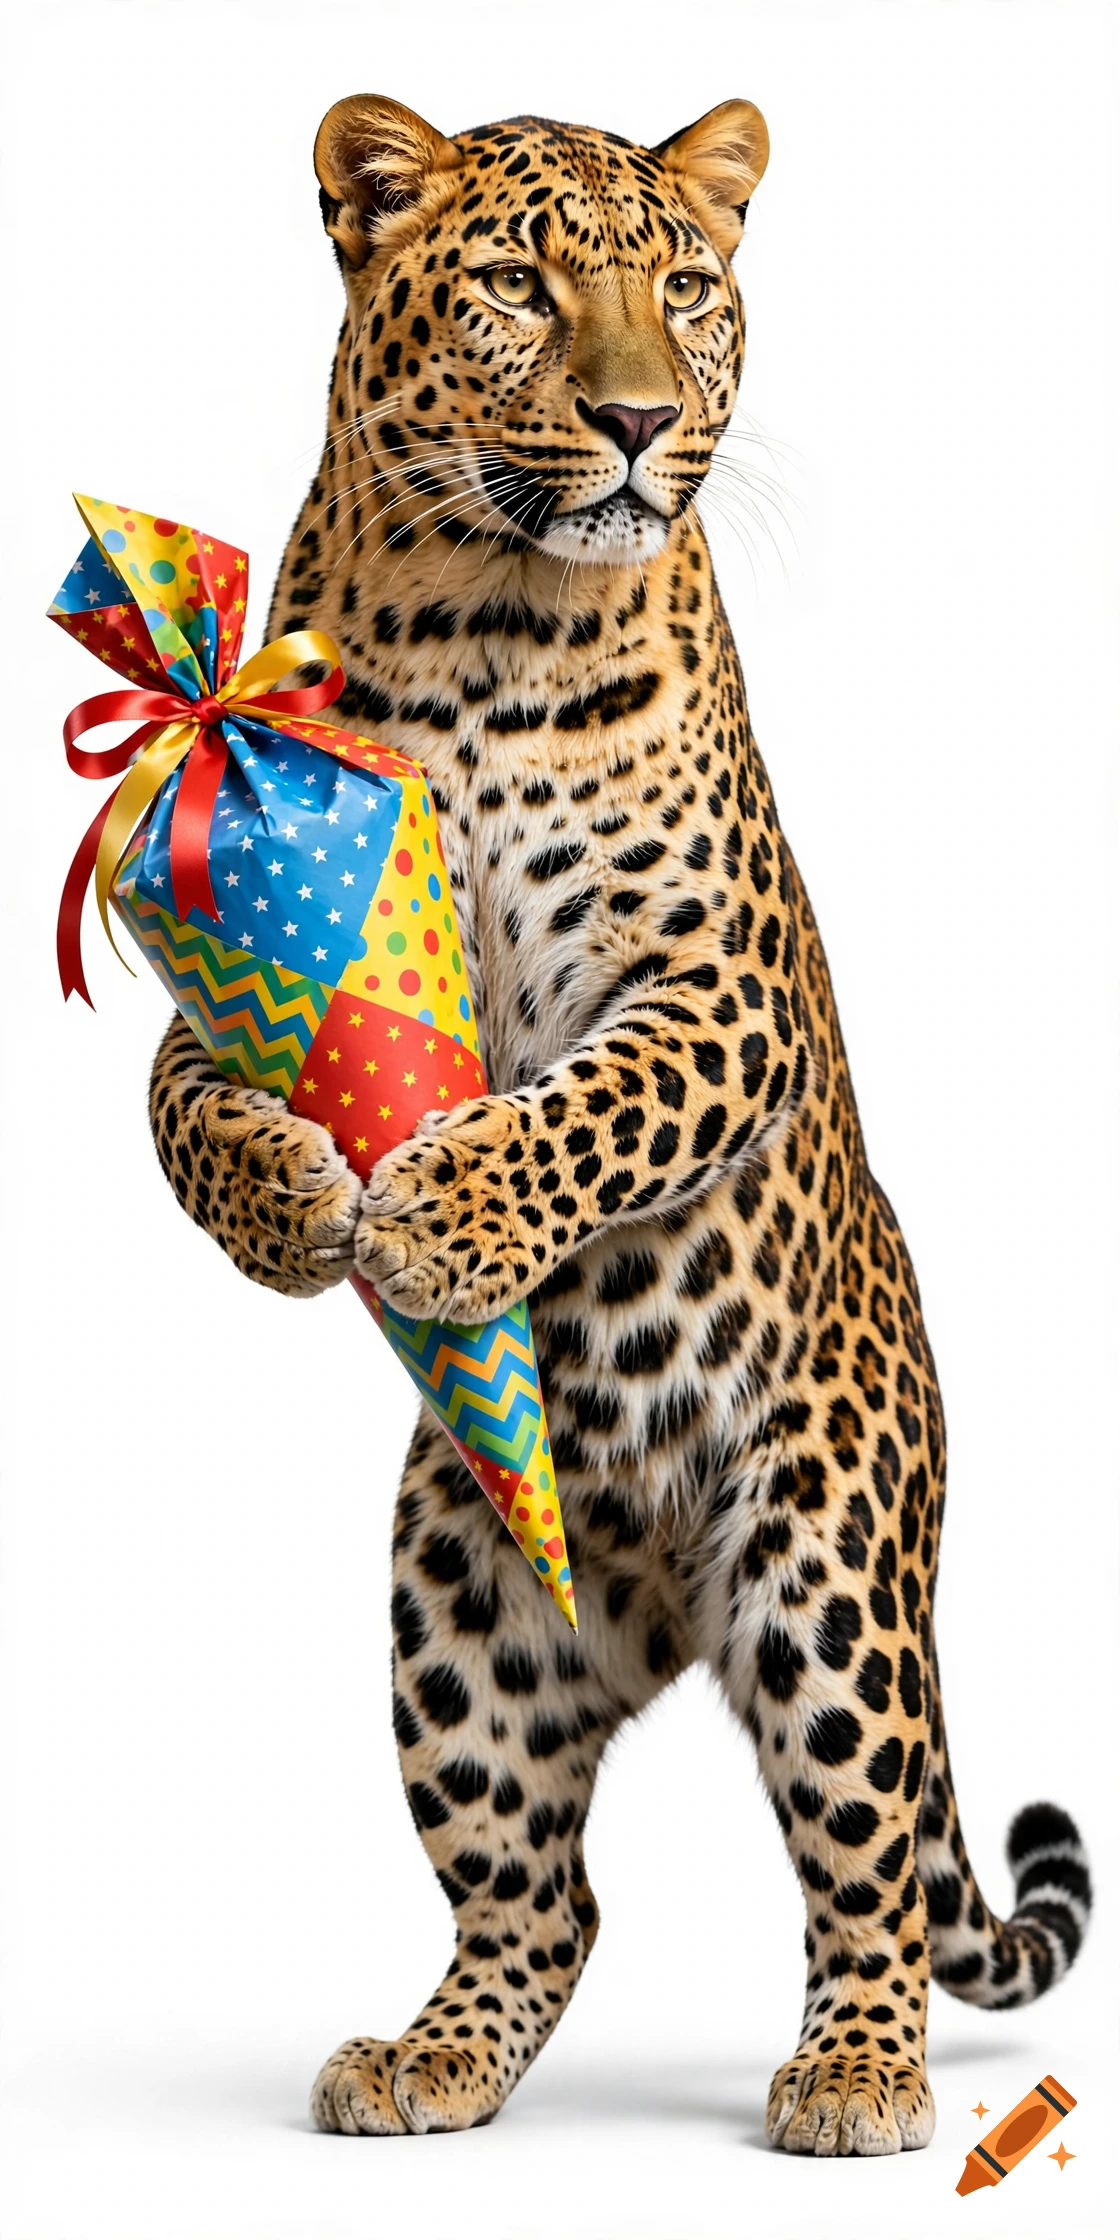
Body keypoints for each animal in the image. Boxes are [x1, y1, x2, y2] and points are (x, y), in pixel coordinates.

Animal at [147, 94, 1092, 2154]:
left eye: (688, 288)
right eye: (519, 284)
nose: (645, 418)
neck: (487, 624)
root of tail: (659, 1604)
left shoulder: (719, 985)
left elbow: (594, 1106)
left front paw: (432, 1214)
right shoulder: (234, 948)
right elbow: (188, 1116)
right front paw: (299, 1205)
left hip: (830, 1577)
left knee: (867, 1863)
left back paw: (858, 2076)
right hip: (458, 1597)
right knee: (544, 1896)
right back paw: (429, 2057)